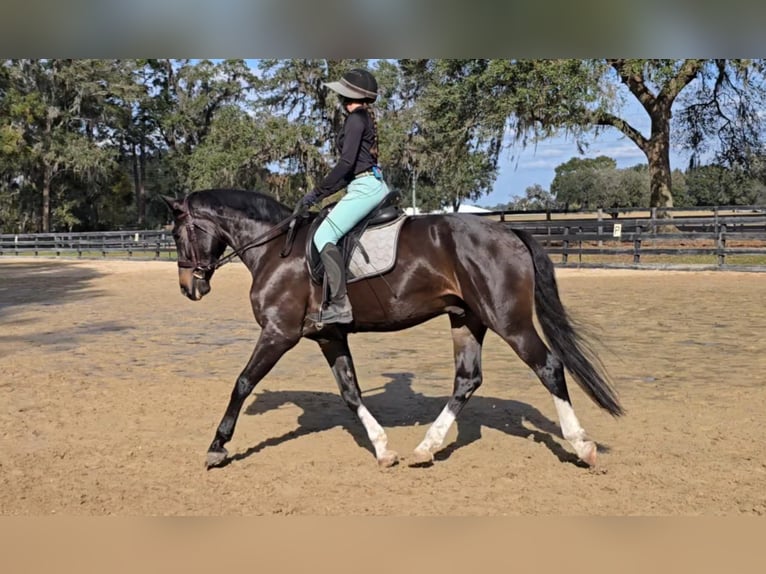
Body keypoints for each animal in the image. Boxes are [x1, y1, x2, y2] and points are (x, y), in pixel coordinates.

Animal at [162, 188, 623, 470]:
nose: (189, 287)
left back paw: (582, 446)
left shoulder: (279, 333)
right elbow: (351, 393)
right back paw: (425, 448)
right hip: (466, 319)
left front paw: (217, 447)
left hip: (507, 320)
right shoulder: (329, 336)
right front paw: (383, 449)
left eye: (178, 233)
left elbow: (242, 383)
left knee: (549, 367)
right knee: (467, 380)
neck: (275, 249)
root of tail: (507, 228)